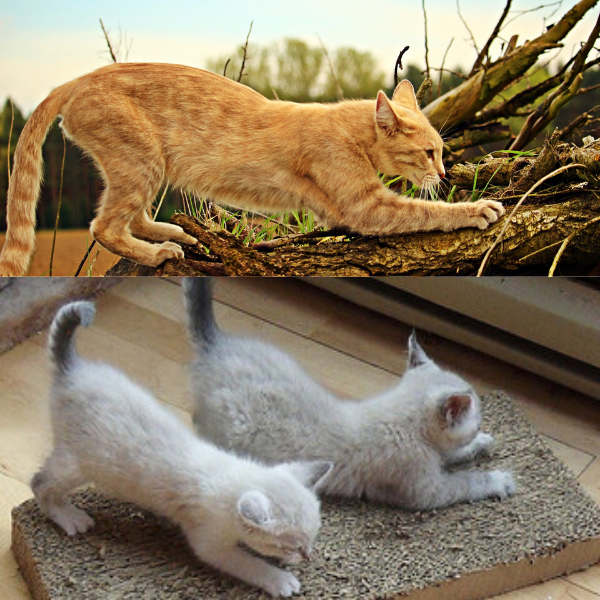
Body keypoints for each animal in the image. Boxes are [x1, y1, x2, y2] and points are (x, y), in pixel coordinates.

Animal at [0, 62, 504, 276]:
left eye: (442, 151)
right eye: (429, 153)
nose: (444, 175)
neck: (350, 129)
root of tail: (75, 79)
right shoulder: (365, 207)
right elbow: (426, 212)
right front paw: (478, 208)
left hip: (145, 166)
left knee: (134, 215)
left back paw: (177, 235)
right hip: (140, 161)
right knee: (104, 225)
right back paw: (160, 253)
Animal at [31, 302, 332, 596]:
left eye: (313, 538)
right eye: (292, 545)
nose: (307, 555)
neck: (235, 476)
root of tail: (72, 369)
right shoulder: (210, 544)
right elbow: (249, 564)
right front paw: (281, 578)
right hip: (78, 463)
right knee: (39, 482)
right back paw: (68, 516)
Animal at [184, 282, 516, 510]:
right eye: (476, 419)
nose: (479, 427)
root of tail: (217, 345)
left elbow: (453, 455)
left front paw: (479, 443)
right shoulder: (424, 490)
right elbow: (466, 482)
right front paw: (498, 479)